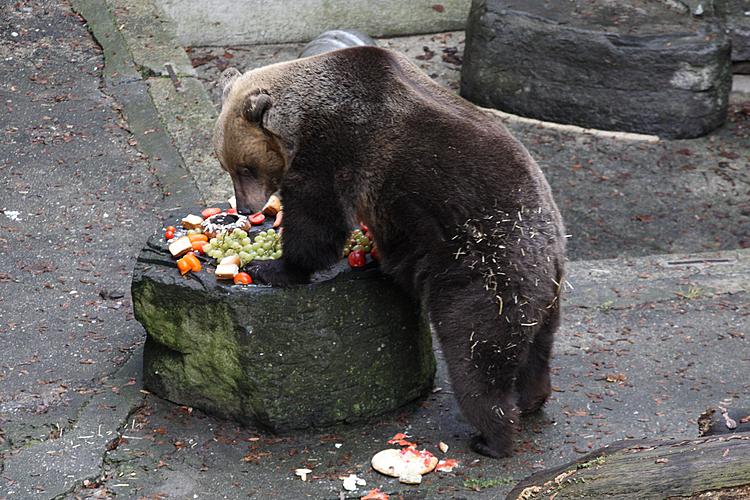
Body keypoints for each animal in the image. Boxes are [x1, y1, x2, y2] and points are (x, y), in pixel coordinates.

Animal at [212, 47, 564, 458]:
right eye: (227, 164)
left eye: (246, 167)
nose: (245, 206)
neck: (302, 119)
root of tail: (550, 253)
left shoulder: (335, 152)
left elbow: (317, 221)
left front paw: (272, 266)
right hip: (541, 296)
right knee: (536, 349)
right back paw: (532, 399)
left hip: (485, 272)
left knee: (476, 353)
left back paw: (490, 438)